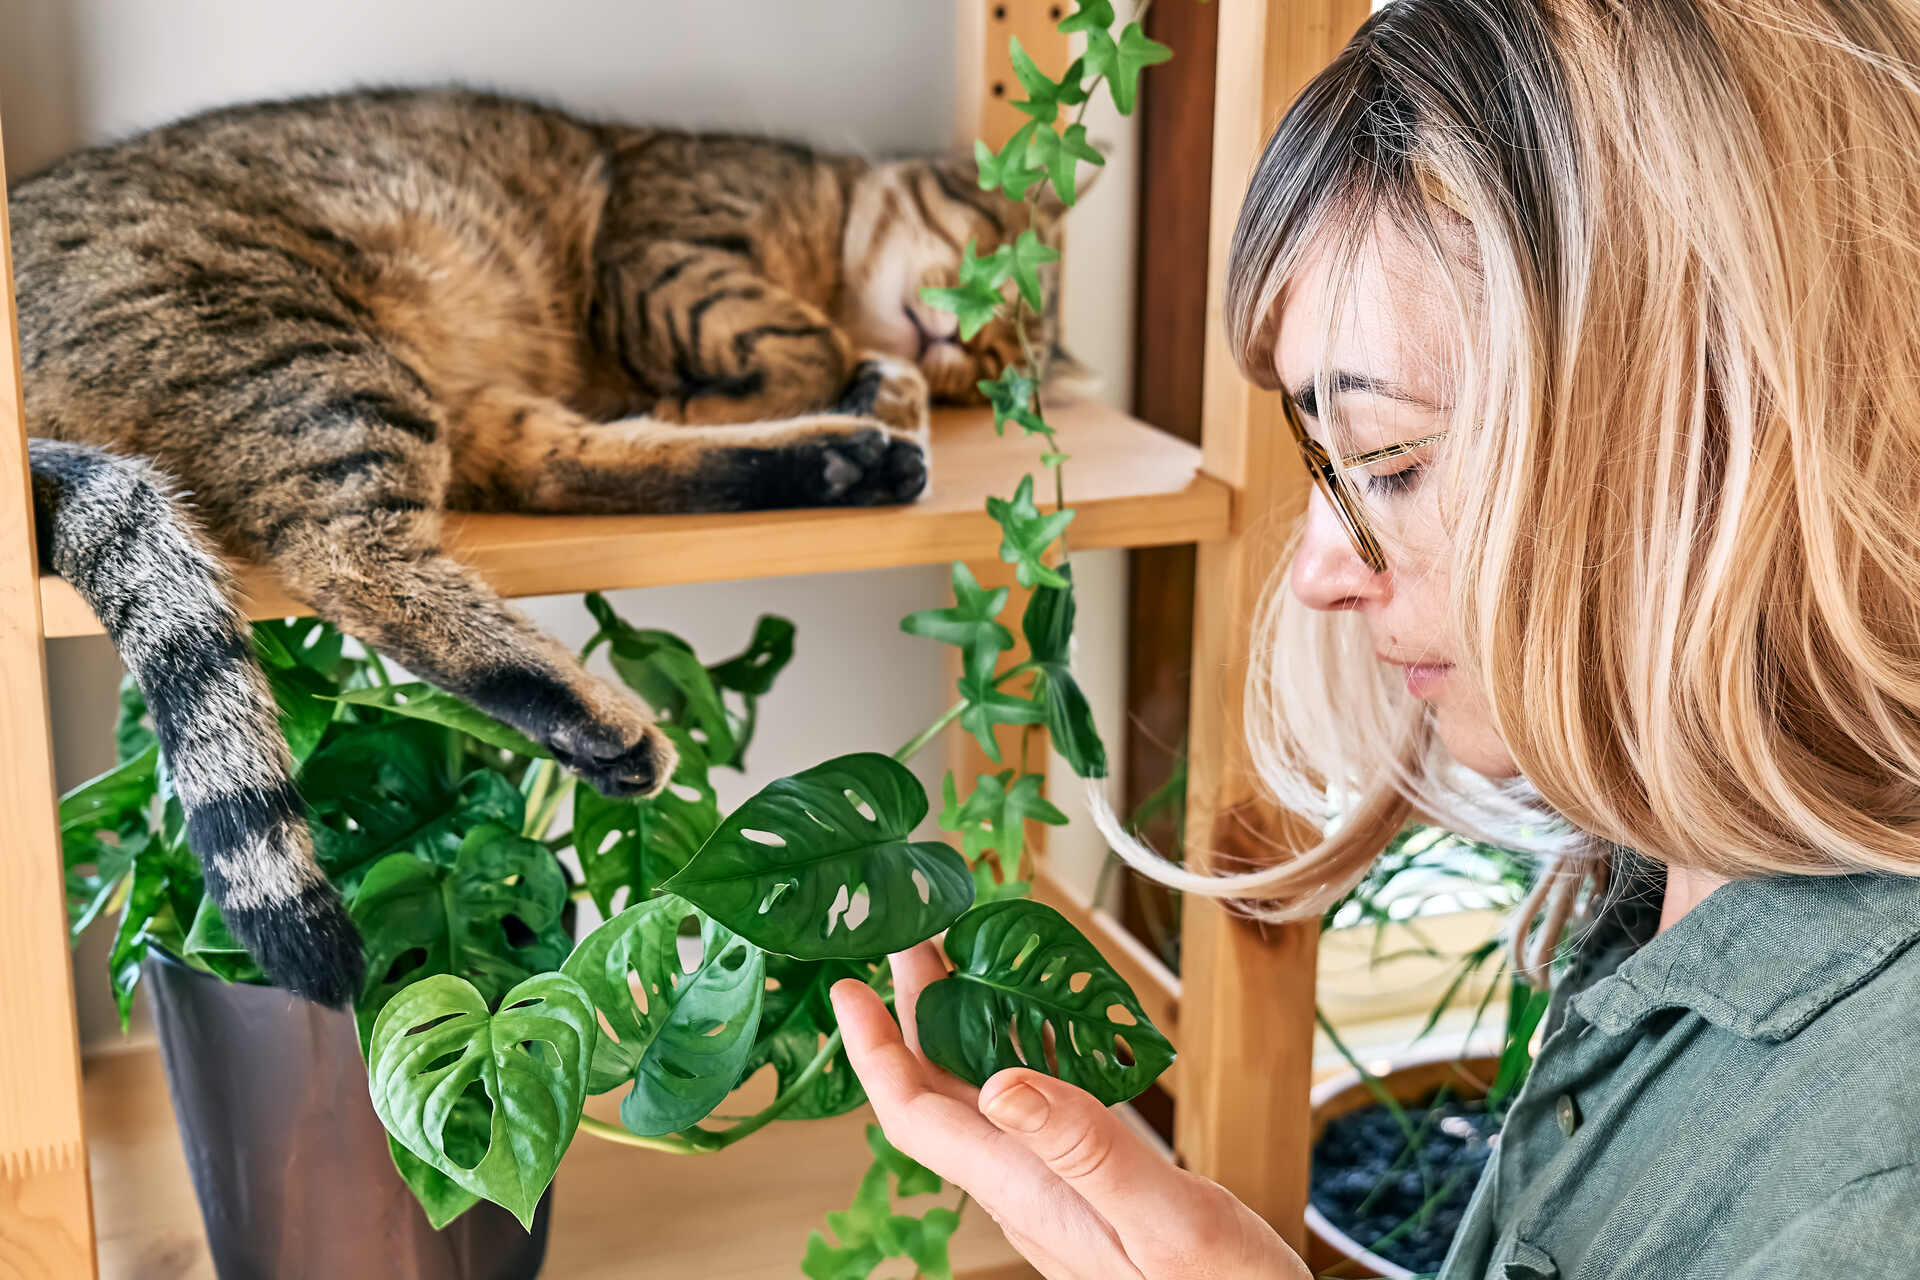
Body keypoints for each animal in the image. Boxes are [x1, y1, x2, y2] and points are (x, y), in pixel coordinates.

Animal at [11, 90, 1082, 1013]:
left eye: (992, 362)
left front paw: (872, 398)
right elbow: (802, 340)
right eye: (989, 284)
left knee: (551, 464)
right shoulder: (664, 244)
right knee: (348, 554)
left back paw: (843, 461)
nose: (957, 341)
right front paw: (821, 380)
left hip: (417, 385)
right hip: (312, 350)